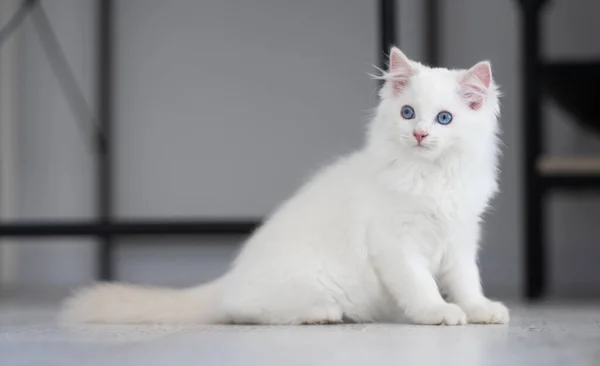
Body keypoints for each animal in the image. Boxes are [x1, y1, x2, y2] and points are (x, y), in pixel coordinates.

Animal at [62, 48, 510, 326]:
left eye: (444, 119)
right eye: (407, 112)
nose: (418, 134)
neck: (432, 178)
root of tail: (230, 278)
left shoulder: (460, 240)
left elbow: (467, 282)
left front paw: (480, 310)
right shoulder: (397, 244)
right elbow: (420, 285)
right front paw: (439, 312)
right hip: (302, 284)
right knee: (240, 311)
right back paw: (322, 314)